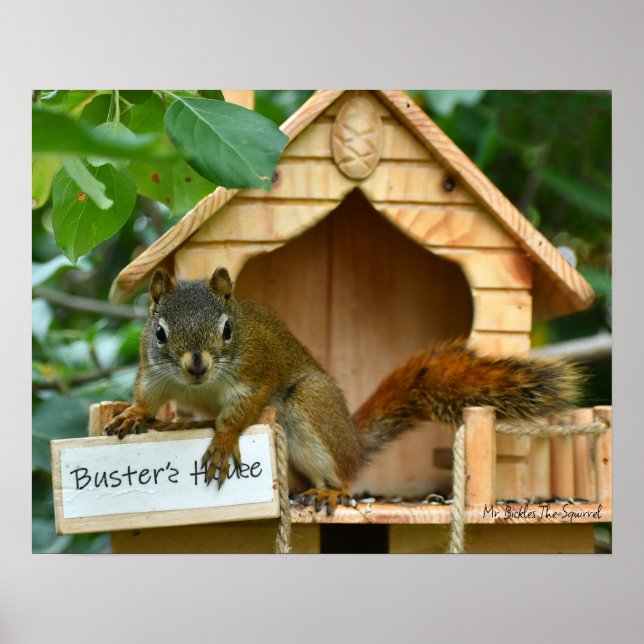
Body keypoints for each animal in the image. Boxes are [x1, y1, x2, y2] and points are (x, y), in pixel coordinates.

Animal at [104, 266, 583, 513]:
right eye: (160, 333)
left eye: (226, 330)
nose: (197, 365)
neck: (198, 384)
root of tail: (352, 440)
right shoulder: (154, 372)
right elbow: (147, 397)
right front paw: (132, 414)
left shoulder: (255, 375)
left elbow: (240, 413)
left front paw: (222, 441)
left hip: (309, 405)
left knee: (343, 475)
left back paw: (329, 491)